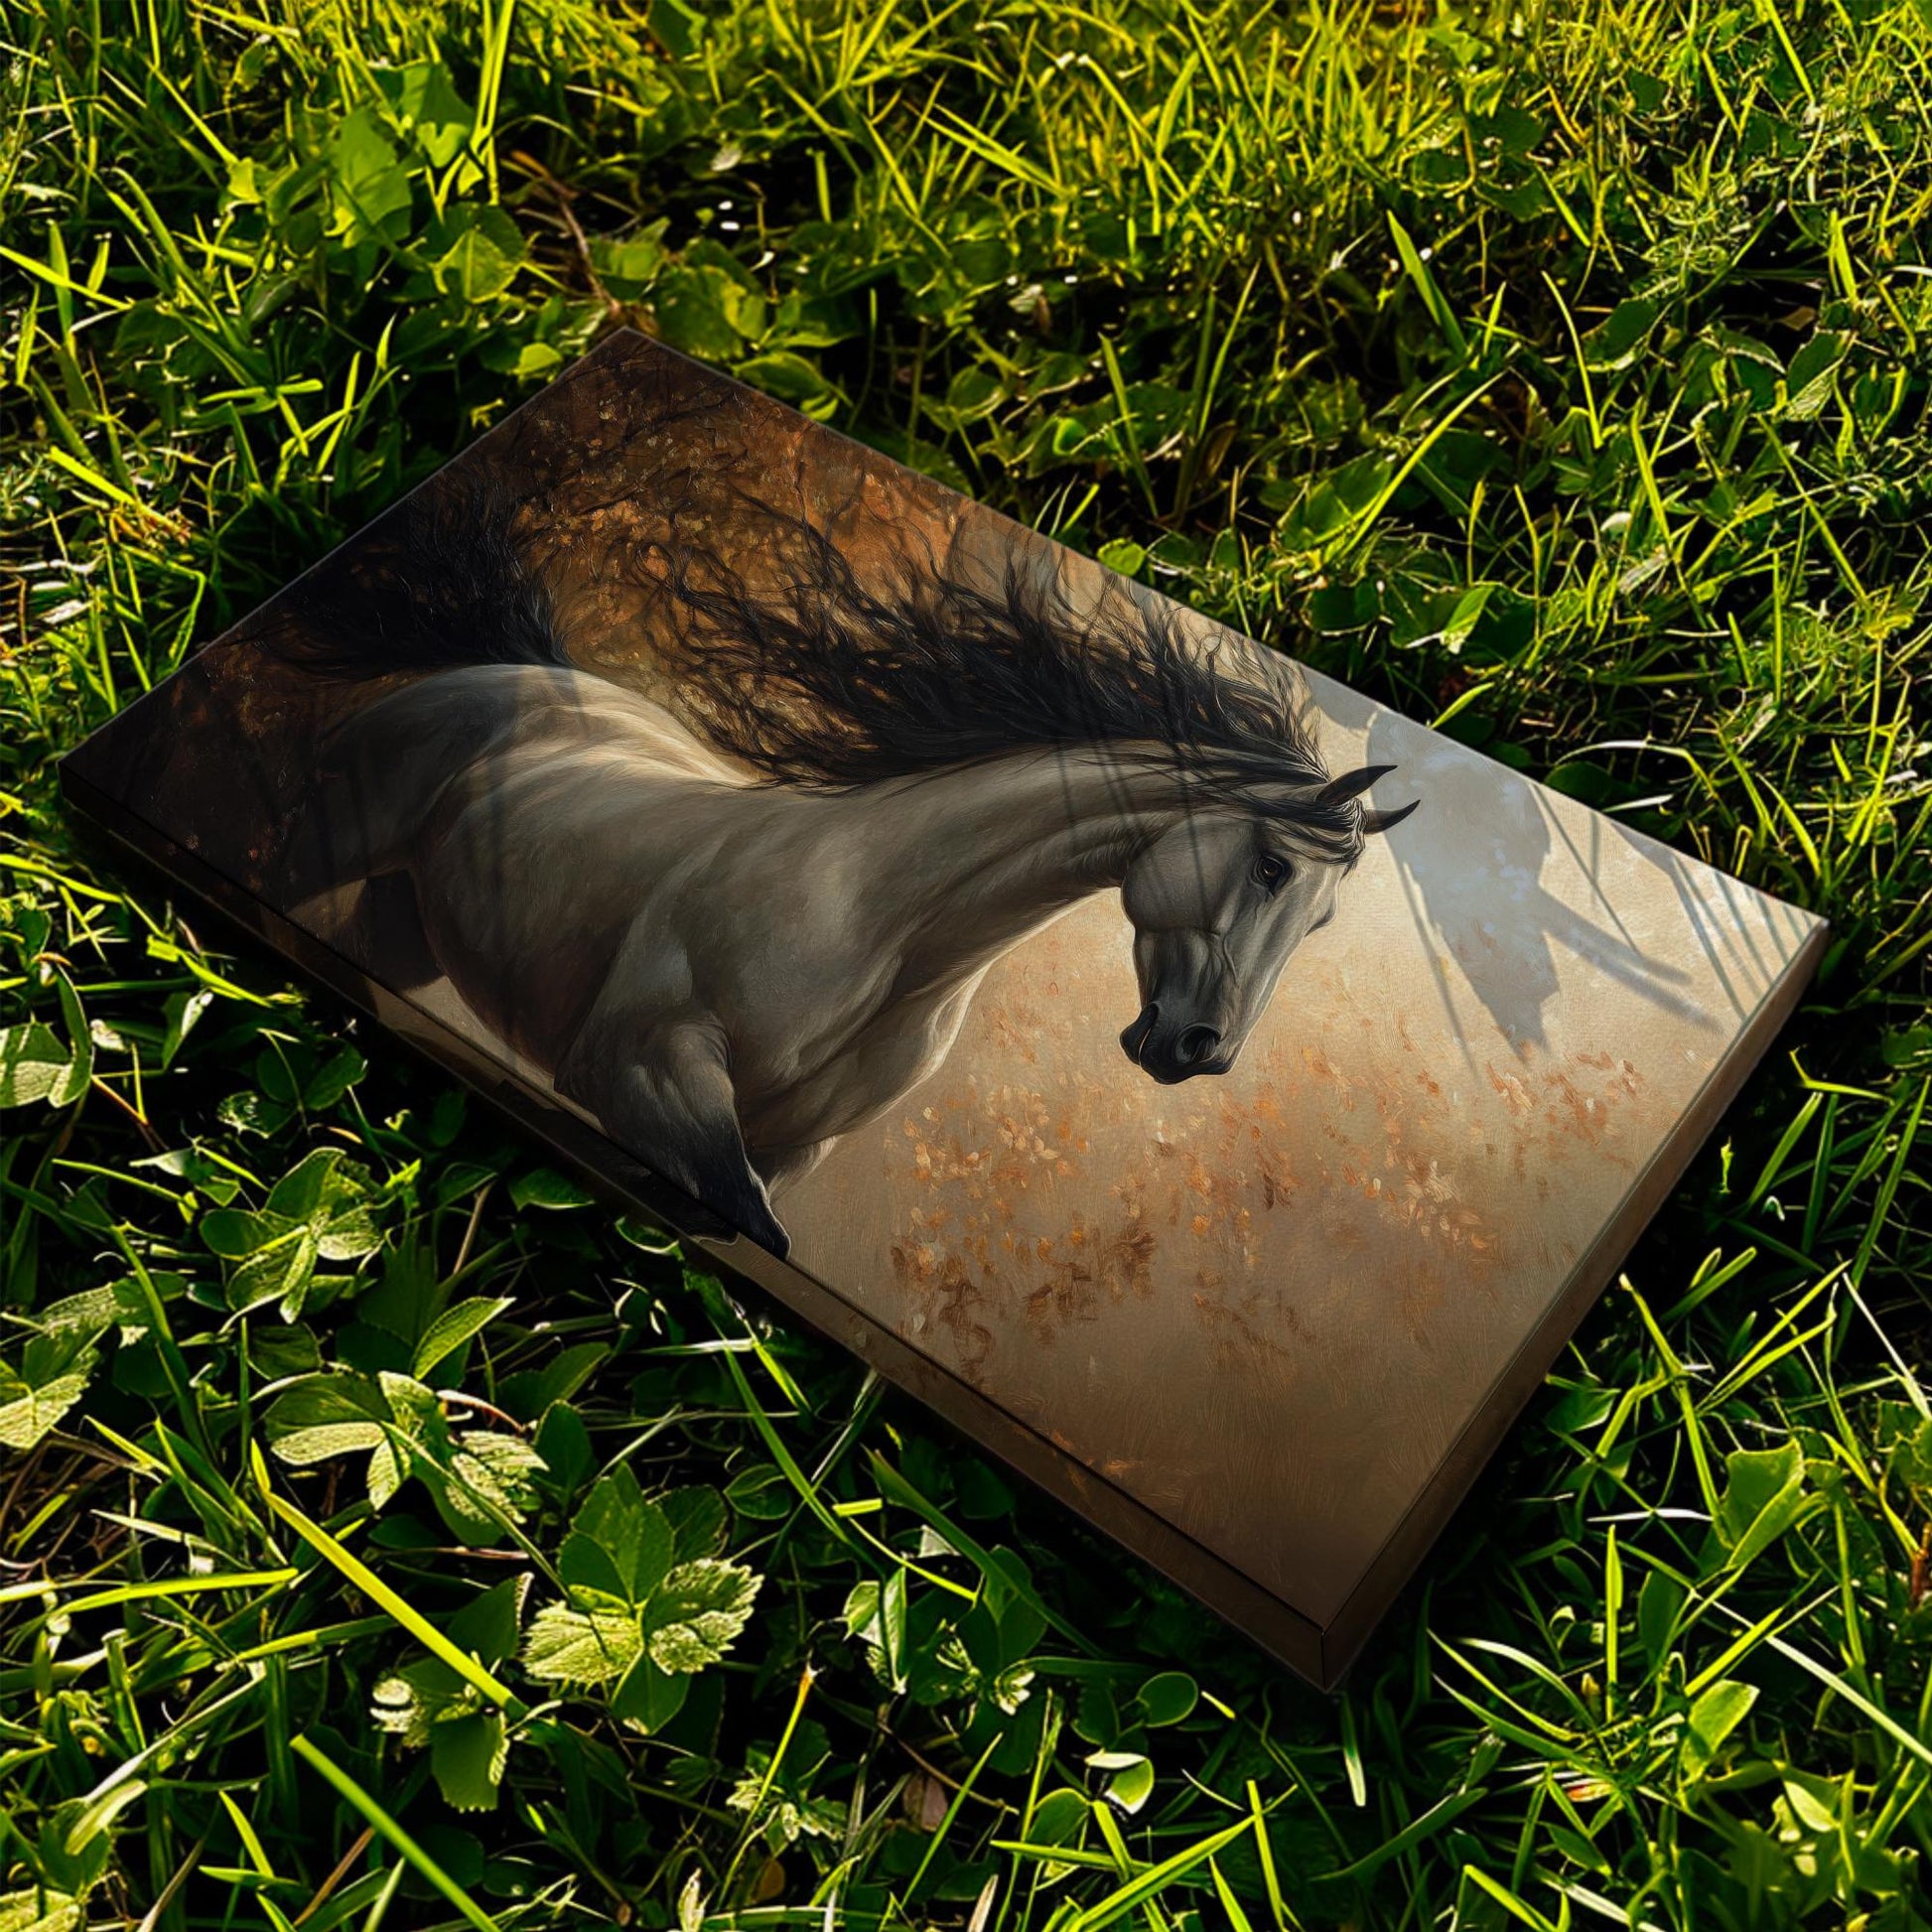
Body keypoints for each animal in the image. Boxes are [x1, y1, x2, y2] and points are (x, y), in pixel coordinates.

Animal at [261, 484, 1418, 1258]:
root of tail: (512, 668)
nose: (1199, 1053)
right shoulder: (633, 1065)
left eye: (1321, 924)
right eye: (1268, 866)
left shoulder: (796, 1147)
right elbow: (743, 1225)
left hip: (408, 930)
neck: (880, 923)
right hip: (326, 853)